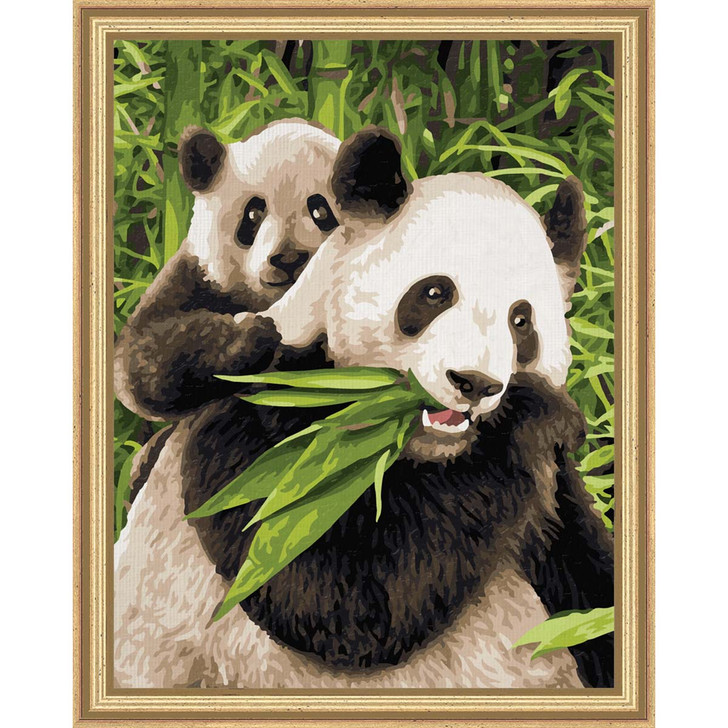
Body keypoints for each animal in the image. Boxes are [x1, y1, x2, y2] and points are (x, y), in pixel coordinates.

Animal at [113, 118, 343, 492]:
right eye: (253, 212)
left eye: (321, 210)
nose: (289, 258)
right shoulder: (198, 277)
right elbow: (143, 359)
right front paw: (253, 335)